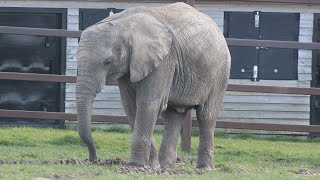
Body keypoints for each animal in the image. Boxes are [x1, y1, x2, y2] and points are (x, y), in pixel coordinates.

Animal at [75, 2, 230, 169]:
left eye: (107, 62)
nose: (93, 159)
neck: (123, 24)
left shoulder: (164, 61)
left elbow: (148, 104)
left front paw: (136, 166)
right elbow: (131, 107)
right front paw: (151, 165)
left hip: (219, 71)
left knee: (206, 115)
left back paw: (204, 168)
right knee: (174, 116)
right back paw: (165, 167)